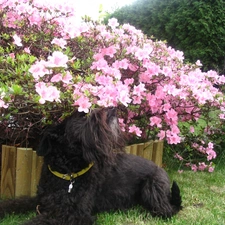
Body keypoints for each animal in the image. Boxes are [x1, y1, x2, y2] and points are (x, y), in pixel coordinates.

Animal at [0, 108, 181, 224]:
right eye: (83, 115)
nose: (114, 108)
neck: (67, 174)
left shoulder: (77, 214)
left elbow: (41, 220)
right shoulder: (40, 200)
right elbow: (16, 203)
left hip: (152, 188)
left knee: (168, 211)